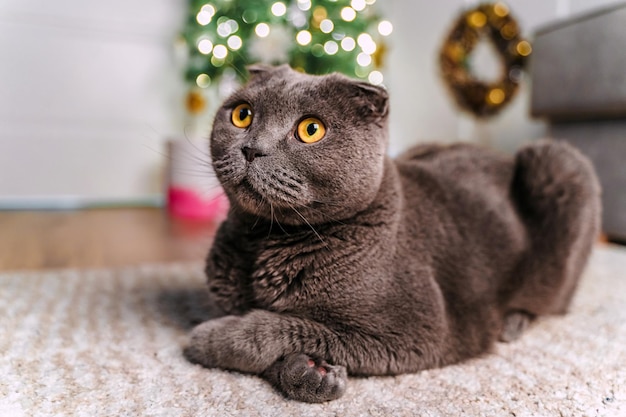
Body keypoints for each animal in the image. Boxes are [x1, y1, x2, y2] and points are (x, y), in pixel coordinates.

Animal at [184, 64, 600, 400]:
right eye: (242, 115)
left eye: (310, 129)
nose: (252, 149)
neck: (265, 241)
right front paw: (312, 373)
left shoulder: (419, 331)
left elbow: (283, 326)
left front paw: (209, 338)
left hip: (560, 163)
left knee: (553, 300)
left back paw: (512, 321)